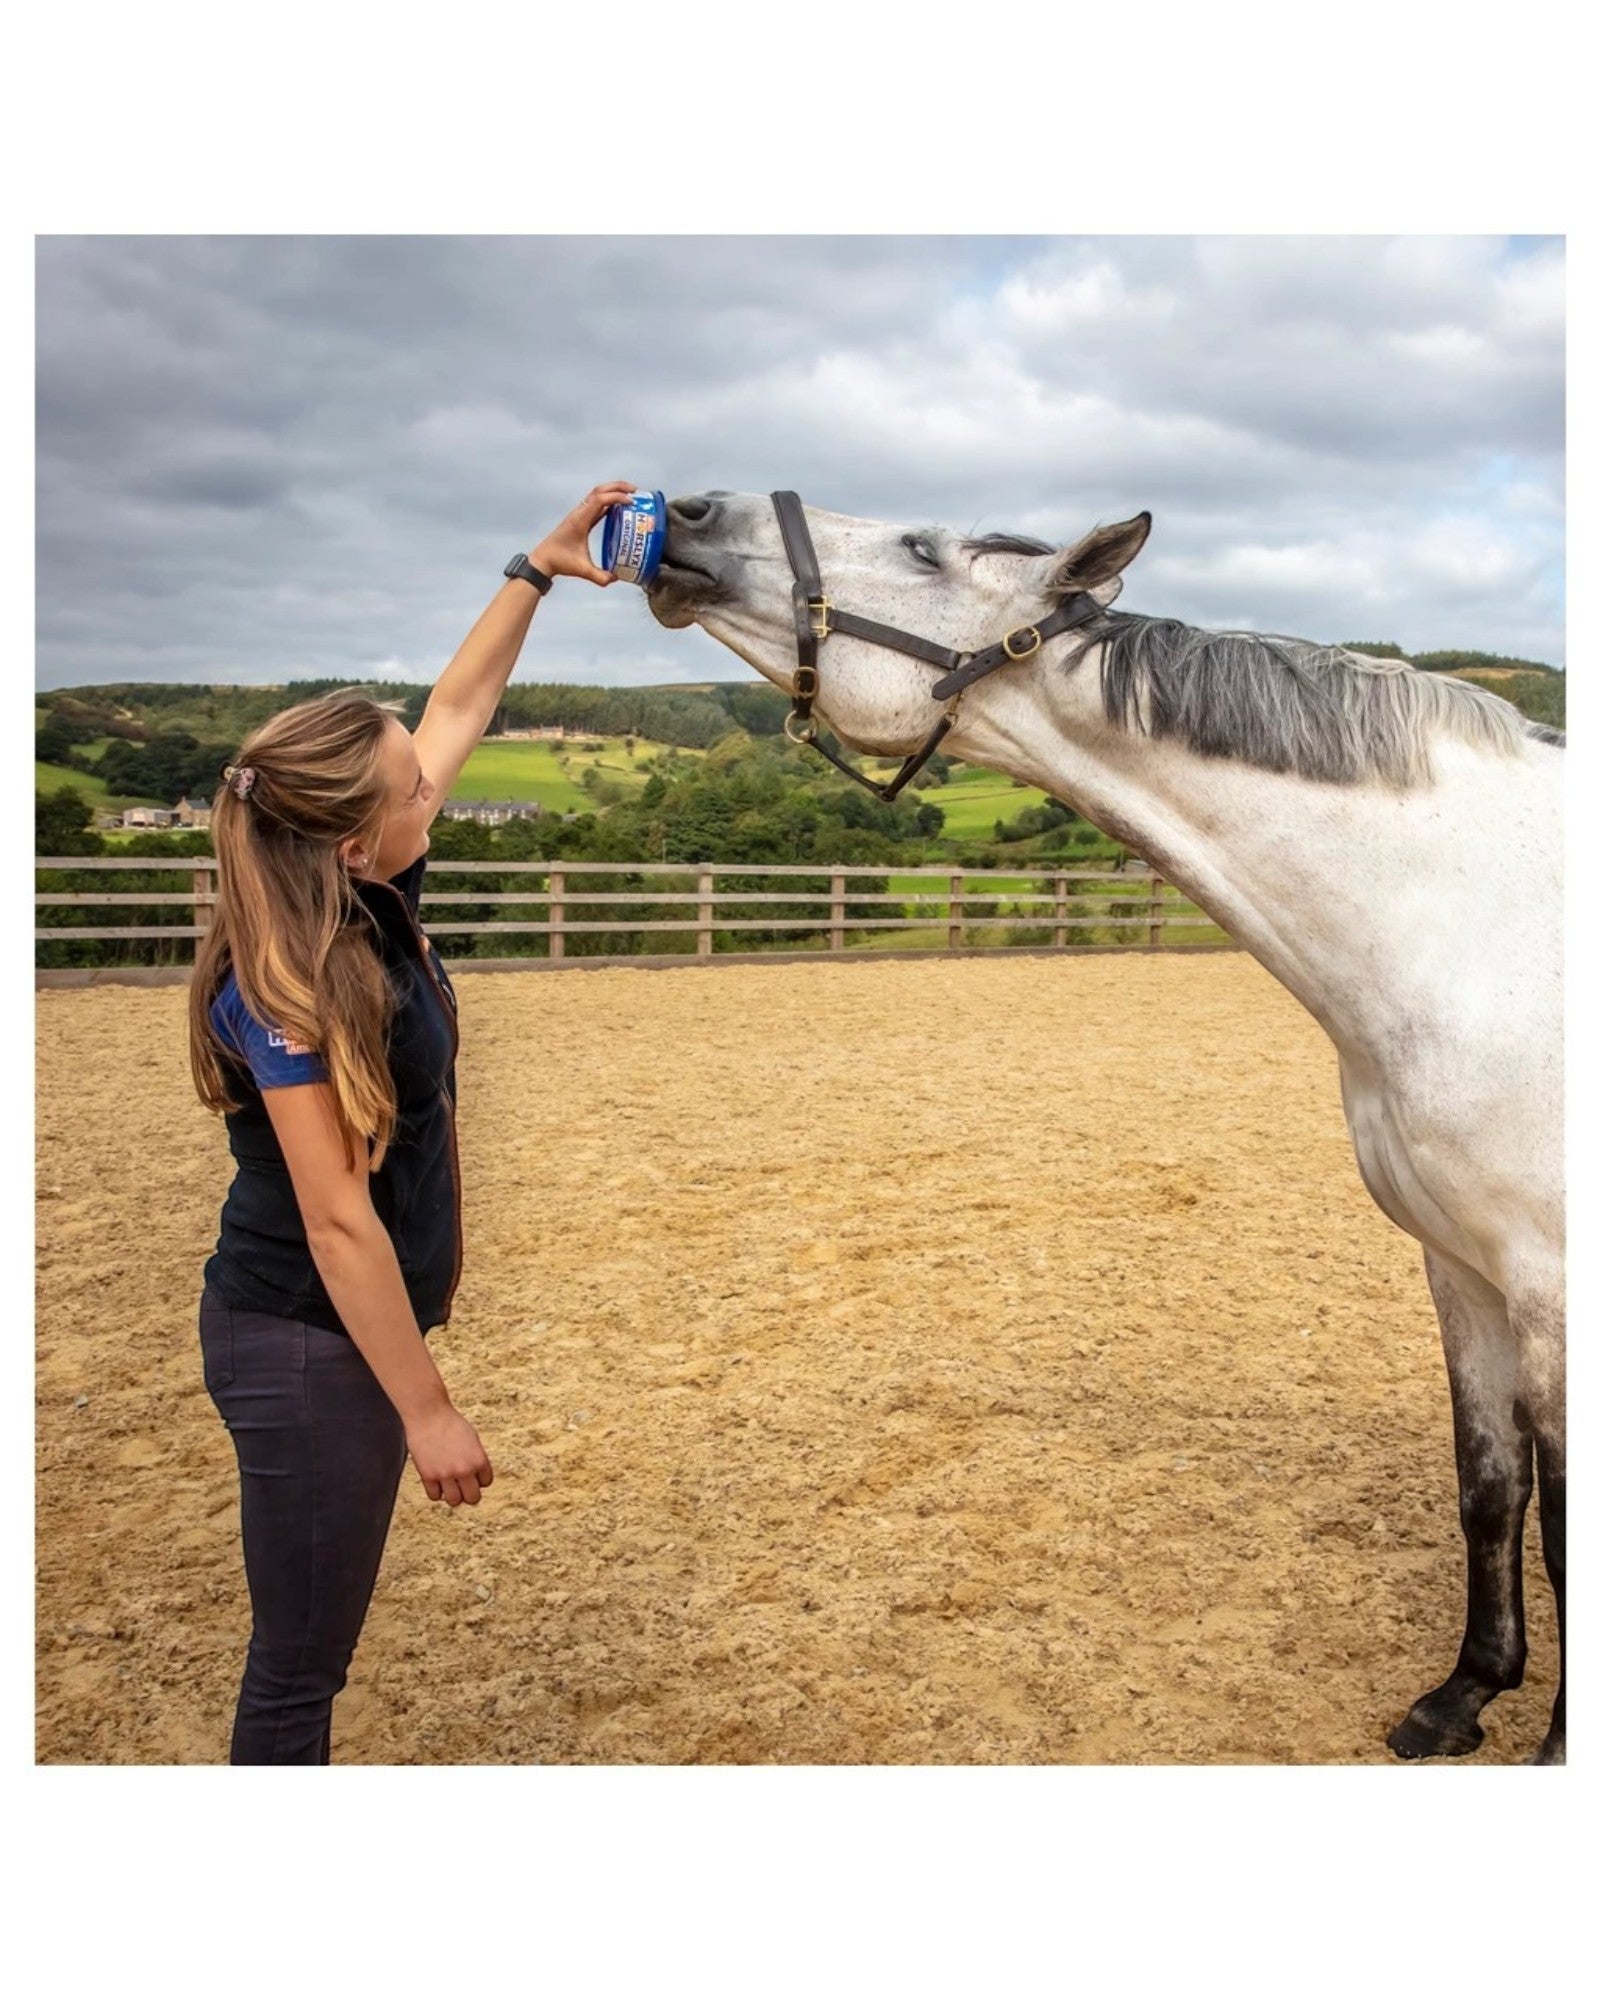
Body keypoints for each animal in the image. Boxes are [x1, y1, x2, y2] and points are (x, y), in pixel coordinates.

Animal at [646, 489, 1565, 1764]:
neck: (1481, 925)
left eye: (922, 549)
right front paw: (1462, 1693)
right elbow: (1489, 1485)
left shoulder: (1553, 1283)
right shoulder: (1461, 1266)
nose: (686, 514)